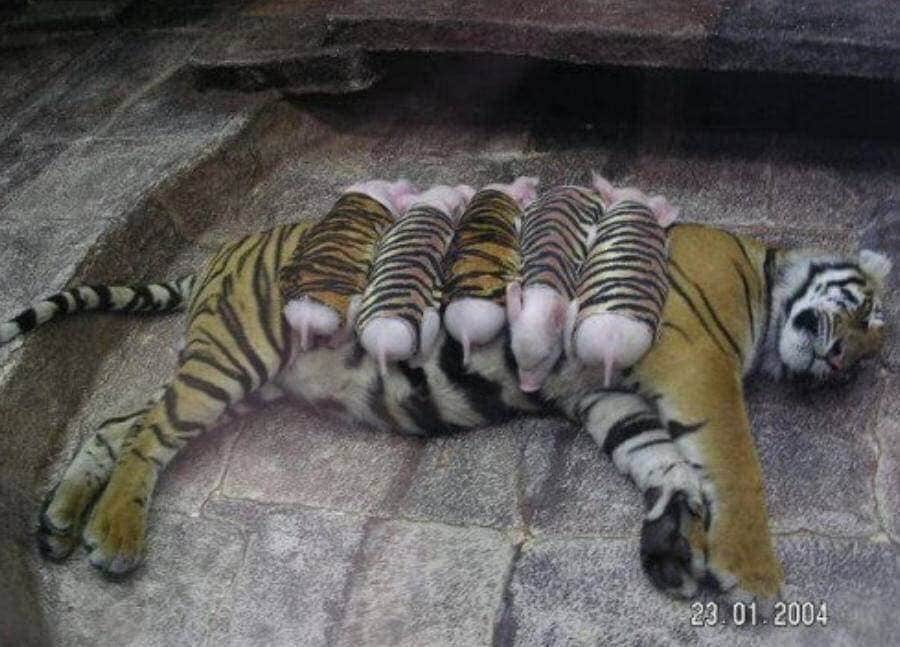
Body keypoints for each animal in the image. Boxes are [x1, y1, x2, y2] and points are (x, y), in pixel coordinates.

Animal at [2, 218, 890, 605]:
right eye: (870, 314)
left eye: (865, 355)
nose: (841, 362)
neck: (766, 278)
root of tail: (228, 248)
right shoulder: (696, 363)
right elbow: (735, 463)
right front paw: (754, 576)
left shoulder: (605, 394)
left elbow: (661, 460)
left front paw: (673, 546)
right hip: (239, 351)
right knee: (149, 434)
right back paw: (114, 536)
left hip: (235, 373)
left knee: (119, 423)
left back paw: (61, 522)